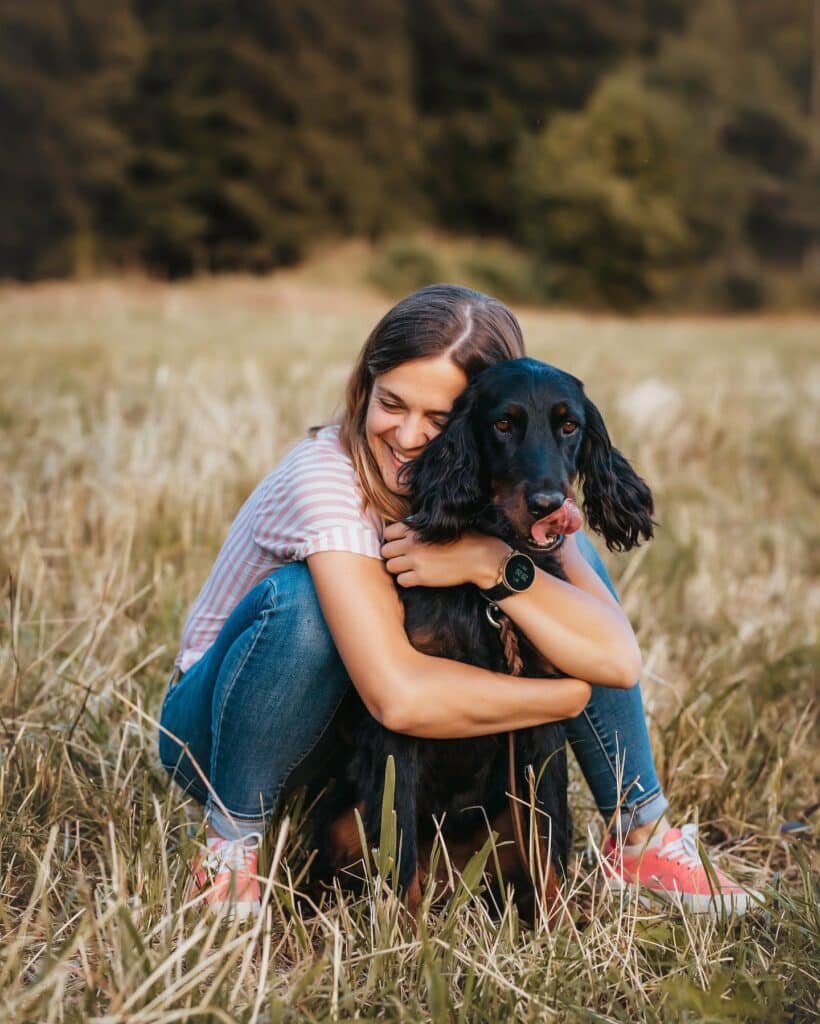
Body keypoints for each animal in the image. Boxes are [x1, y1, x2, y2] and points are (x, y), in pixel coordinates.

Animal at [311, 358, 651, 913]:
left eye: (570, 426)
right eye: (503, 424)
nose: (547, 504)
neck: (487, 600)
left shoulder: (542, 716)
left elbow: (547, 840)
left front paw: (557, 926)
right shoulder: (401, 726)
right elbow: (402, 850)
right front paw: (404, 933)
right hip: (344, 819)